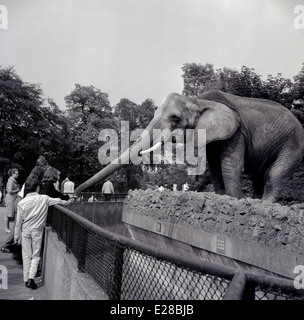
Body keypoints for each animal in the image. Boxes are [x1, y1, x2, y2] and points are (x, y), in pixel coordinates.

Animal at [75, 89, 304, 202]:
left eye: (175, 118)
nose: (75, 194)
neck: (198, 100)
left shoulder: (236, 131)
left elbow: (229, 165)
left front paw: (234, 201)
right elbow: (214, 167)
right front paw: (222, 197)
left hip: (292, 145)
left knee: (273, 175)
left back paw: (265, 205)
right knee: (258, 176)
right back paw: (257, 202)